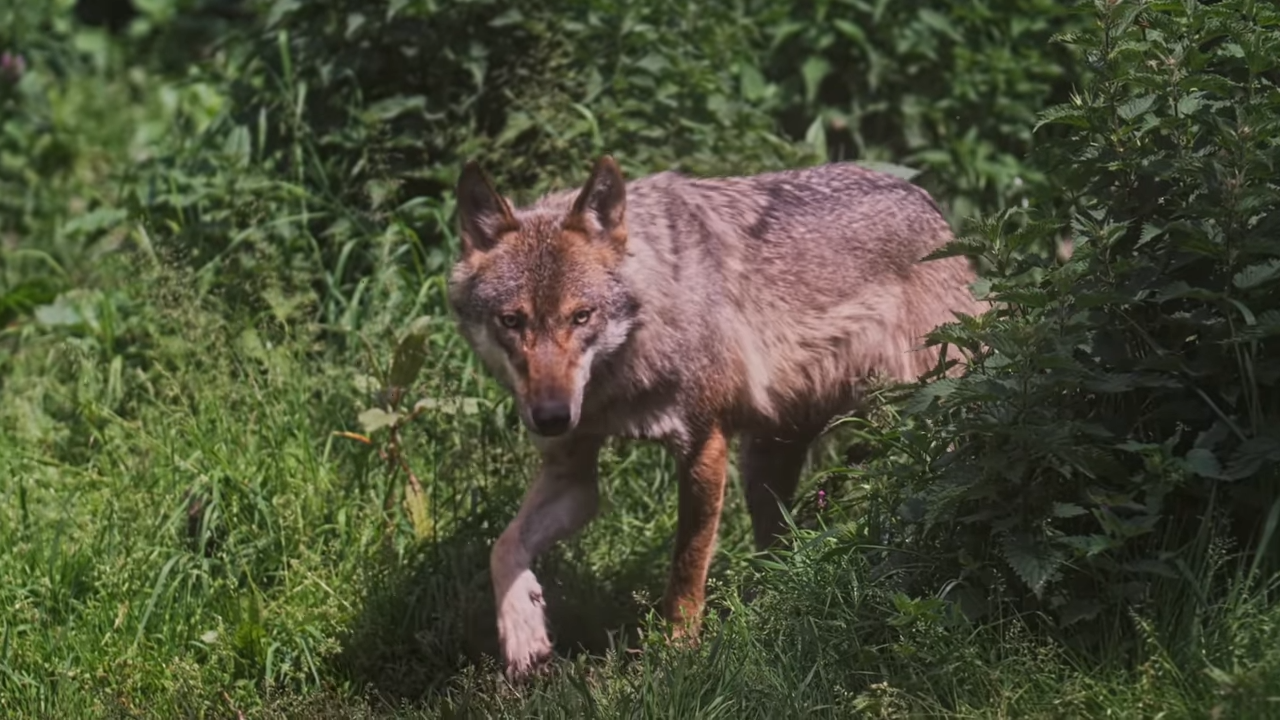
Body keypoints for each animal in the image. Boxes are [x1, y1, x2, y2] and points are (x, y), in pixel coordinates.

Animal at [446, 155, 988, 680]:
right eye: (512, 321)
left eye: (582, 317)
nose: (552, 417)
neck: (621, 373)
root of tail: (927, 202)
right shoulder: (573, 477)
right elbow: (502, 547)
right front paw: (524, 636)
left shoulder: (704, 446)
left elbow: (685, 569)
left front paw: (675, 654)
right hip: (765, 463)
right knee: (780, 552)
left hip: (918, 432)